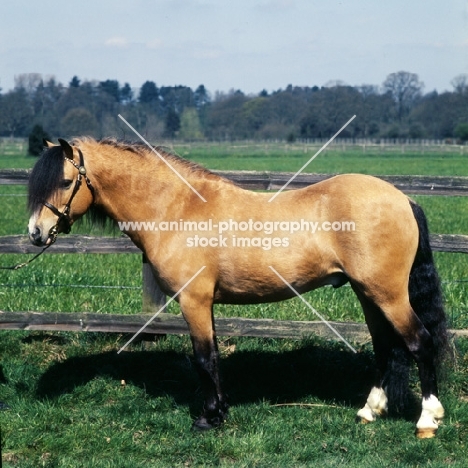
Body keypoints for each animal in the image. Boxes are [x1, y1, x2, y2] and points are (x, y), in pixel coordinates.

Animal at [27, 137, 448, 436]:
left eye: (65, 181)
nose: (35, 233)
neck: (177, 209)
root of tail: (403, 198)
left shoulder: (194, 301)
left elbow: (203, 358)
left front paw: (208, 418)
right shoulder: (204, 303)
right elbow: (212, 357)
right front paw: (219, 411)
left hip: (388, 295)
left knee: (419, 343)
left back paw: (427, 419)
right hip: (368, 294)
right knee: (385, 348)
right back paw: (369, 410)